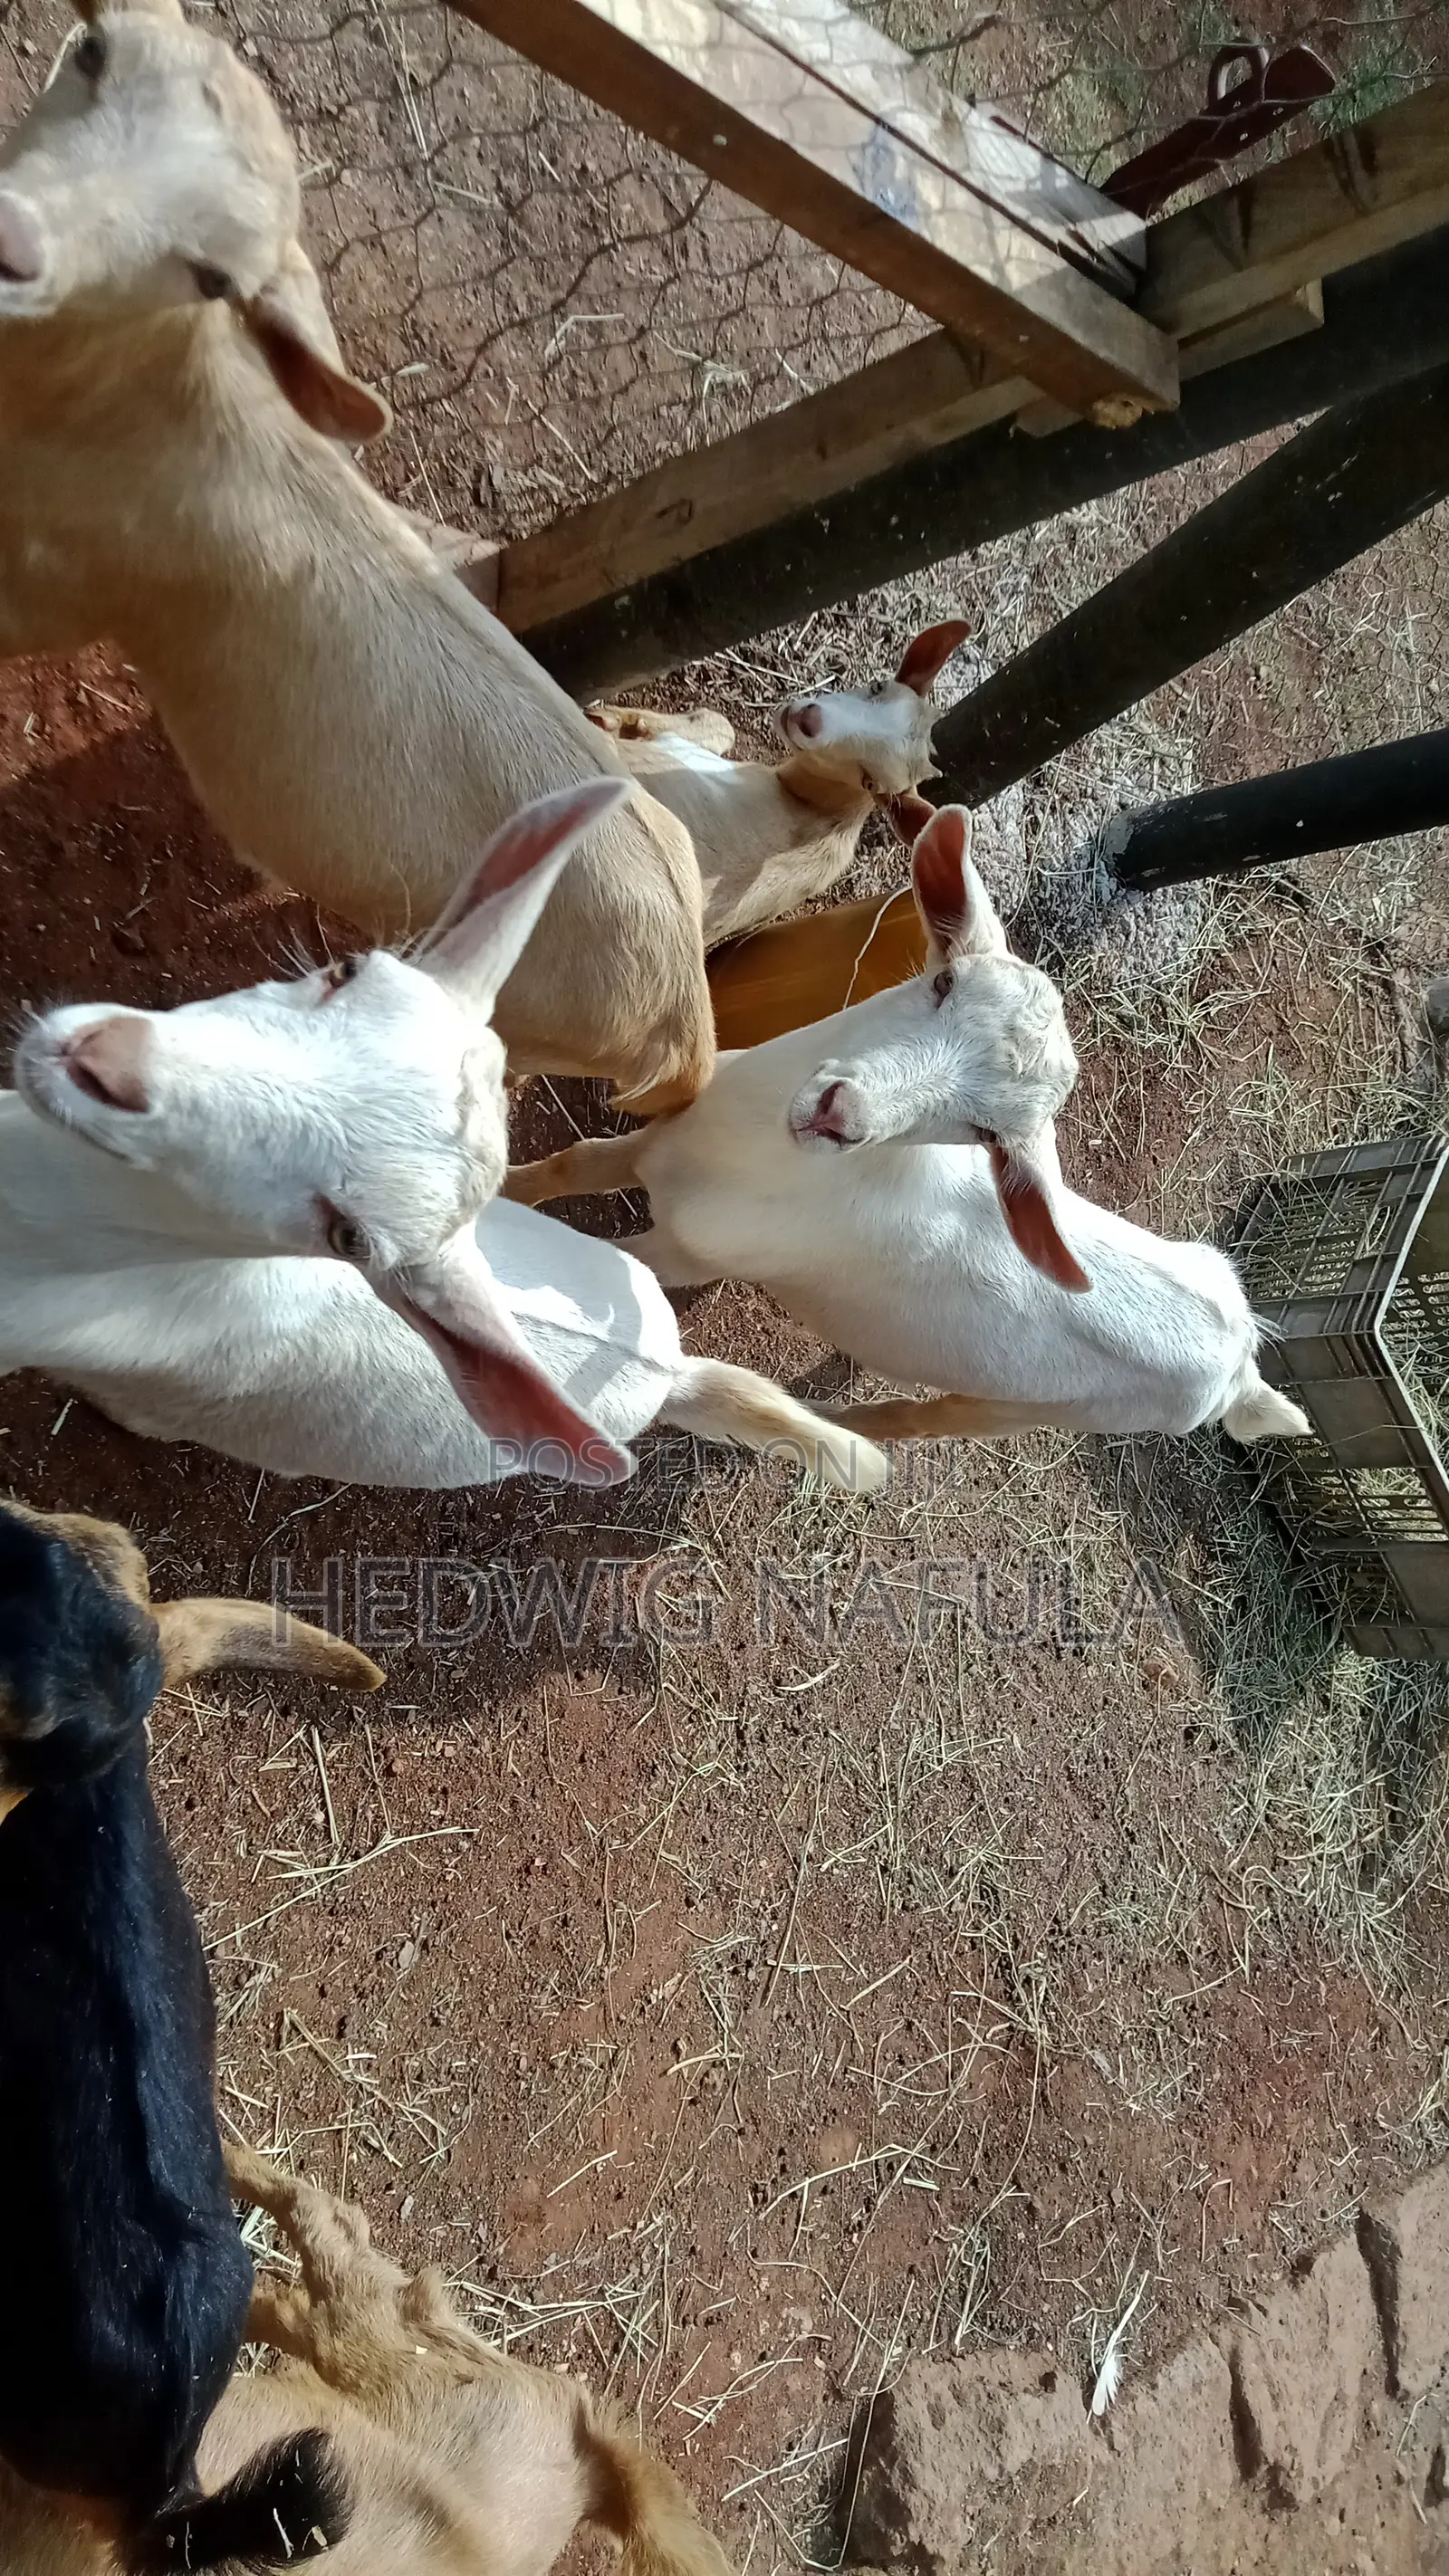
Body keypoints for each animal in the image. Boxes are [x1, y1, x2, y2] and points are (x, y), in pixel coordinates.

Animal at [506, 807, 1312, 1447]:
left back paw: (840, 1424)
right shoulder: (657, 1138)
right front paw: (504, 1186)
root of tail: (1239, 1360)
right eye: (944, 980)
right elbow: (570, 1163)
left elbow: (610, 1260)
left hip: (1028, 1411)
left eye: (986, 1133)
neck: (738, 1160)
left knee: (923, 1419)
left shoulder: (689, 1254)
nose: (840, 1113)